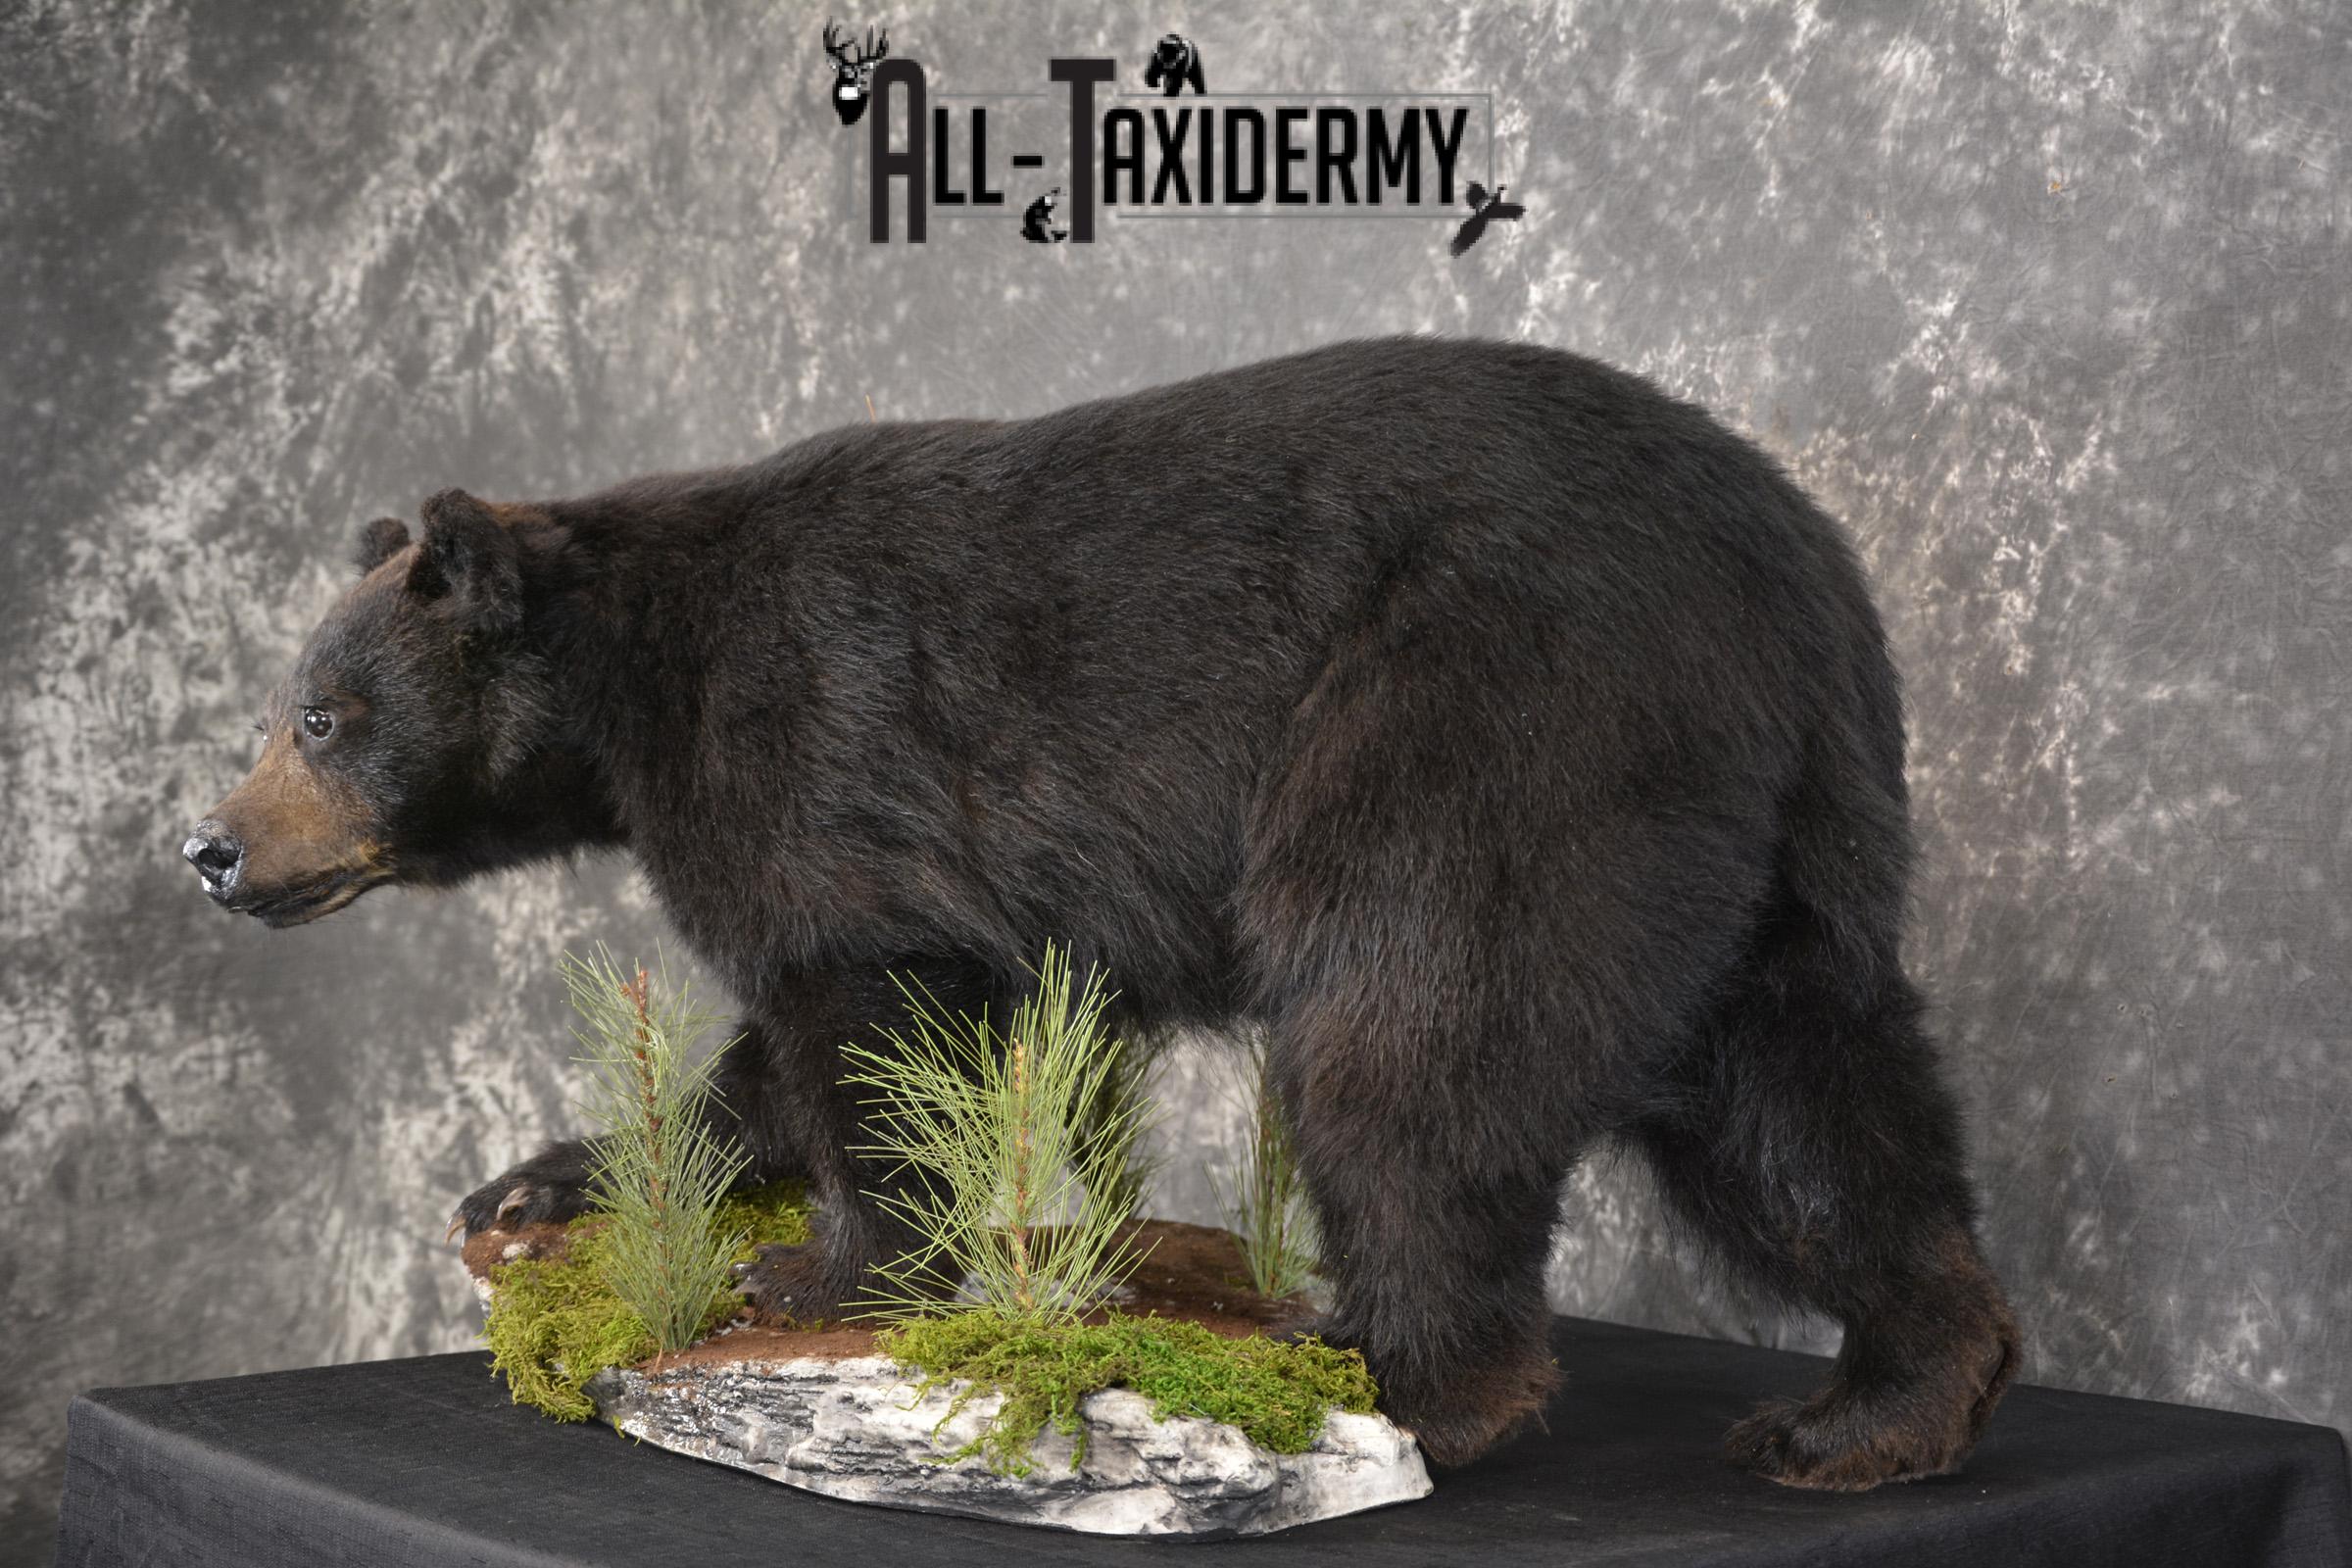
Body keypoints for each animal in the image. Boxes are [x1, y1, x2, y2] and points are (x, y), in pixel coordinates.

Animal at [186, 336, 2018, 1484]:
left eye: (318, 713)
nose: (209, 848)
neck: (633, 684)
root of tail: (1788, 570)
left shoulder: (819, 744)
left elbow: (861, 1013)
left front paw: (817, 1274)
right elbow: (787, 1044)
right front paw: (547, 1181)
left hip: (1494, 720)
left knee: (1408, 1035)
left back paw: (1387, 1371)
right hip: (1767, 831)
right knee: (1802, 1096)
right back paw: (1878, 1404)